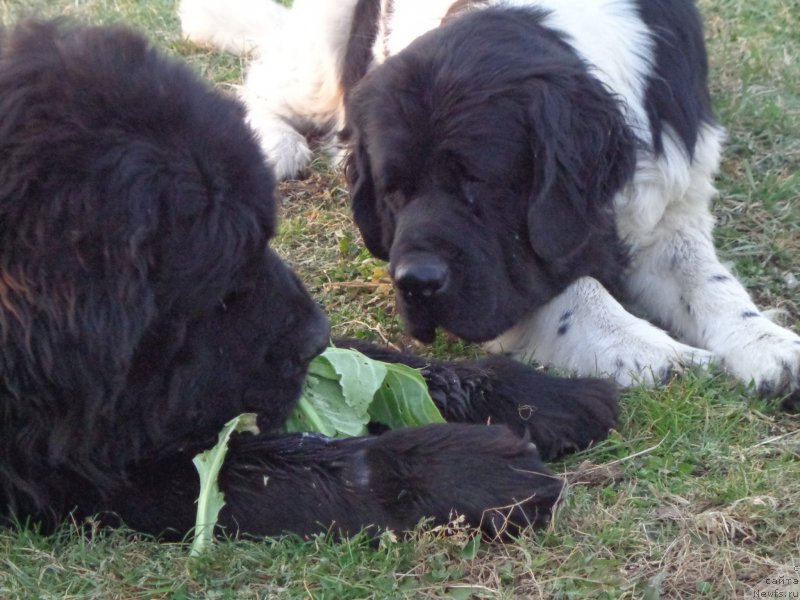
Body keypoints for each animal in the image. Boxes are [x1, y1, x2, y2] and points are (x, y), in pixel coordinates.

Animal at [0, 22, 620, 540]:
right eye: (221, 284)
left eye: (264, 242)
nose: (313, 338)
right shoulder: (87, 466)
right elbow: (288, 468)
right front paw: (462, 470)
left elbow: (388, 358)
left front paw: (536, 396)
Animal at [181, 1, 800, 404]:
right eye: (393, 192)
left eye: (479, 185)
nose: (416, 283)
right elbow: (571, 291)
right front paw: (651, 348)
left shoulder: (672, 198)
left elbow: (708, 282)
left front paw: (768, 343)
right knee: (264, 85)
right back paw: (276, 144)